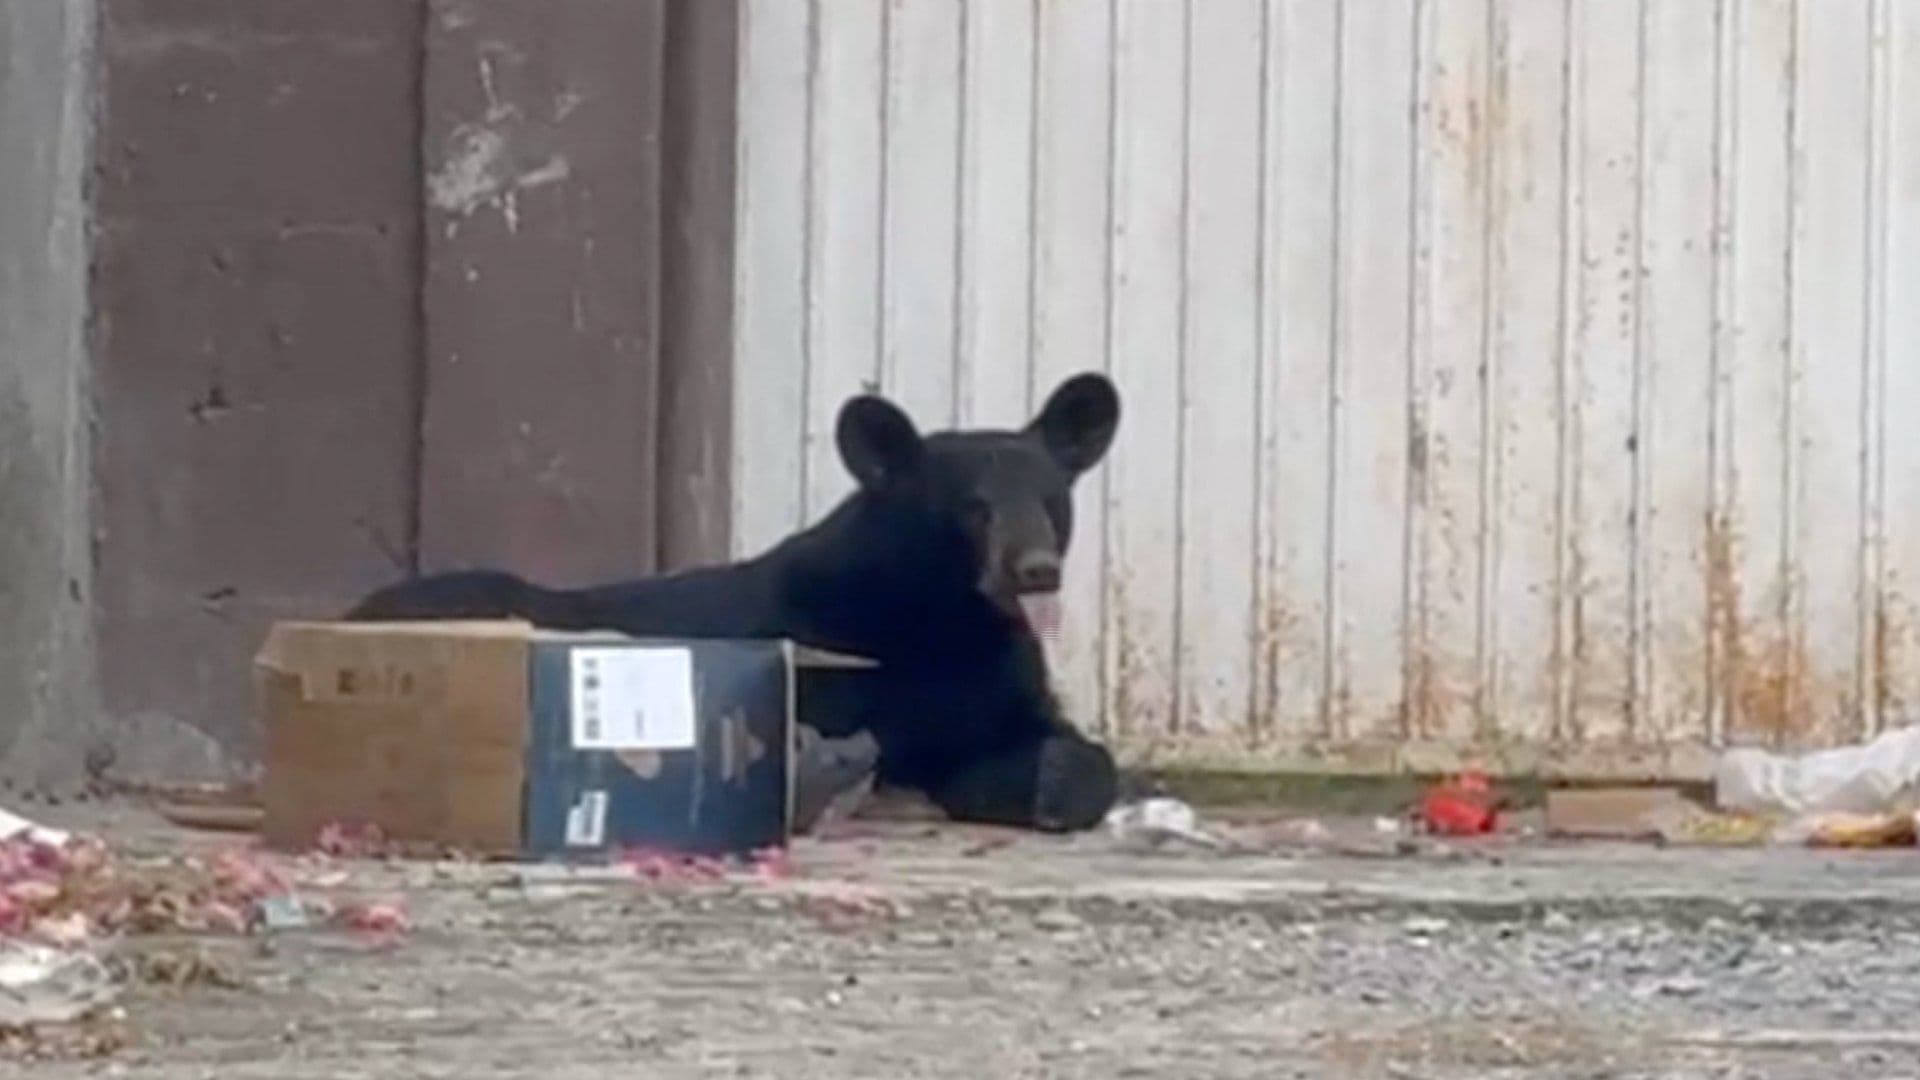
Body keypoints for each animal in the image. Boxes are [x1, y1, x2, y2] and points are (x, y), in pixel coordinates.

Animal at [345, 373, 1123, 832]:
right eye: (972, 507)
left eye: (1052, 501)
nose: (1036, 571)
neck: (943, 618)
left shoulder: (996, 674)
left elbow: (1056, 743)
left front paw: (1049, 780)